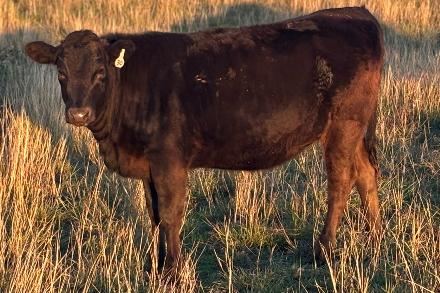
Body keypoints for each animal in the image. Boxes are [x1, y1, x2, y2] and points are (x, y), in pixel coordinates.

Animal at [24, 6, 382, 274]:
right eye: (61, 73)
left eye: (100, 73)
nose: (78, 114)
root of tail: (354, 12)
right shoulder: (149, 166)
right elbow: (155, 215)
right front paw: (156, 266)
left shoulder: (169, 159)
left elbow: (171, 213)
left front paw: (172, 272)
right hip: (354, 130)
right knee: (366, 175)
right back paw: (373, 238)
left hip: (344, 125)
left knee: (340, 181)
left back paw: (324, 249)